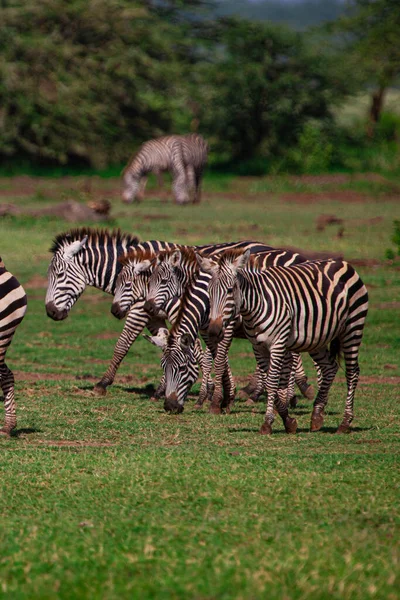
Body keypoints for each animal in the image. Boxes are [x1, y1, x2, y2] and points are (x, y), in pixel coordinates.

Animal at [142, 247, 318, 412]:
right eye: (163, 367)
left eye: (182, 368)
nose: (169, 406)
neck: (206, 298)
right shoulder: (208, 331)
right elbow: (212, 360)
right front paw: (224, 398)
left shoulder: (226, 327)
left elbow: (219, 361)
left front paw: (215, 401)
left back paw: (283, 397)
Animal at [200, 250, 368, 436]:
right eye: (209, 291)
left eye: (230, 290)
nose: (214, 331)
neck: (256, 304)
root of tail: (343, 263)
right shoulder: (258, 347)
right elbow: (270, 382)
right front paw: (288, 421)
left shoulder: (278, 344)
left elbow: (273, 381)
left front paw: (267, 423)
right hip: (317, 339)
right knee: (329, 367)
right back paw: (317, 415)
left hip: (353, 327)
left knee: (352, 372)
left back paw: (345, 423)